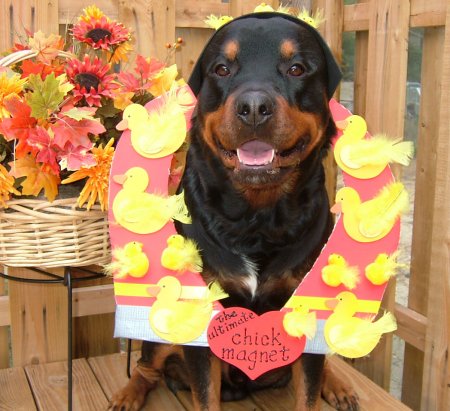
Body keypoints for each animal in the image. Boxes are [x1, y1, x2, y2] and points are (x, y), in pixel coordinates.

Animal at [111, 12, 358, 411]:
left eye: (297, 68)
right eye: (222, 69)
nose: (254, 107)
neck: (257, 218)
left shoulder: (305, 306)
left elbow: (308, 388)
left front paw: (324, 384)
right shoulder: (202, 311)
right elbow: (205, 394)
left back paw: (336, 383)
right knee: (148, 364)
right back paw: (129, 392)